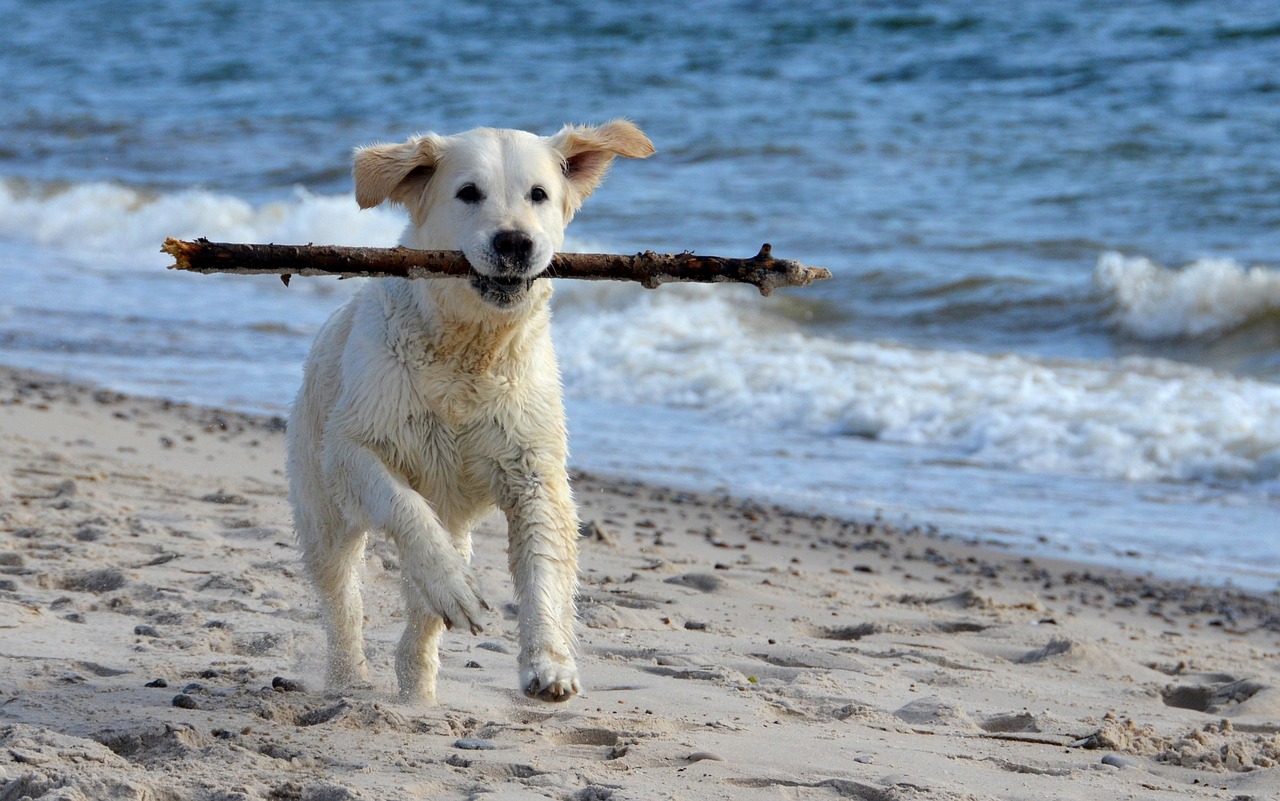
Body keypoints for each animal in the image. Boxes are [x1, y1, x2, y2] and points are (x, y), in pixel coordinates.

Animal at [286, 120, 655, 696]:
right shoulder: (351, 448)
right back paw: (350, 679)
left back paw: (416, 685)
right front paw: (455, 589)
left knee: (420, 615)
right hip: (321, 504)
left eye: (538, 194)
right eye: (468, 193)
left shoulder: (533, 470)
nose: (515, 242)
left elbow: (544, 563)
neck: (469, 349)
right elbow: (404, 506)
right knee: (340, 595)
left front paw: (548, 663)